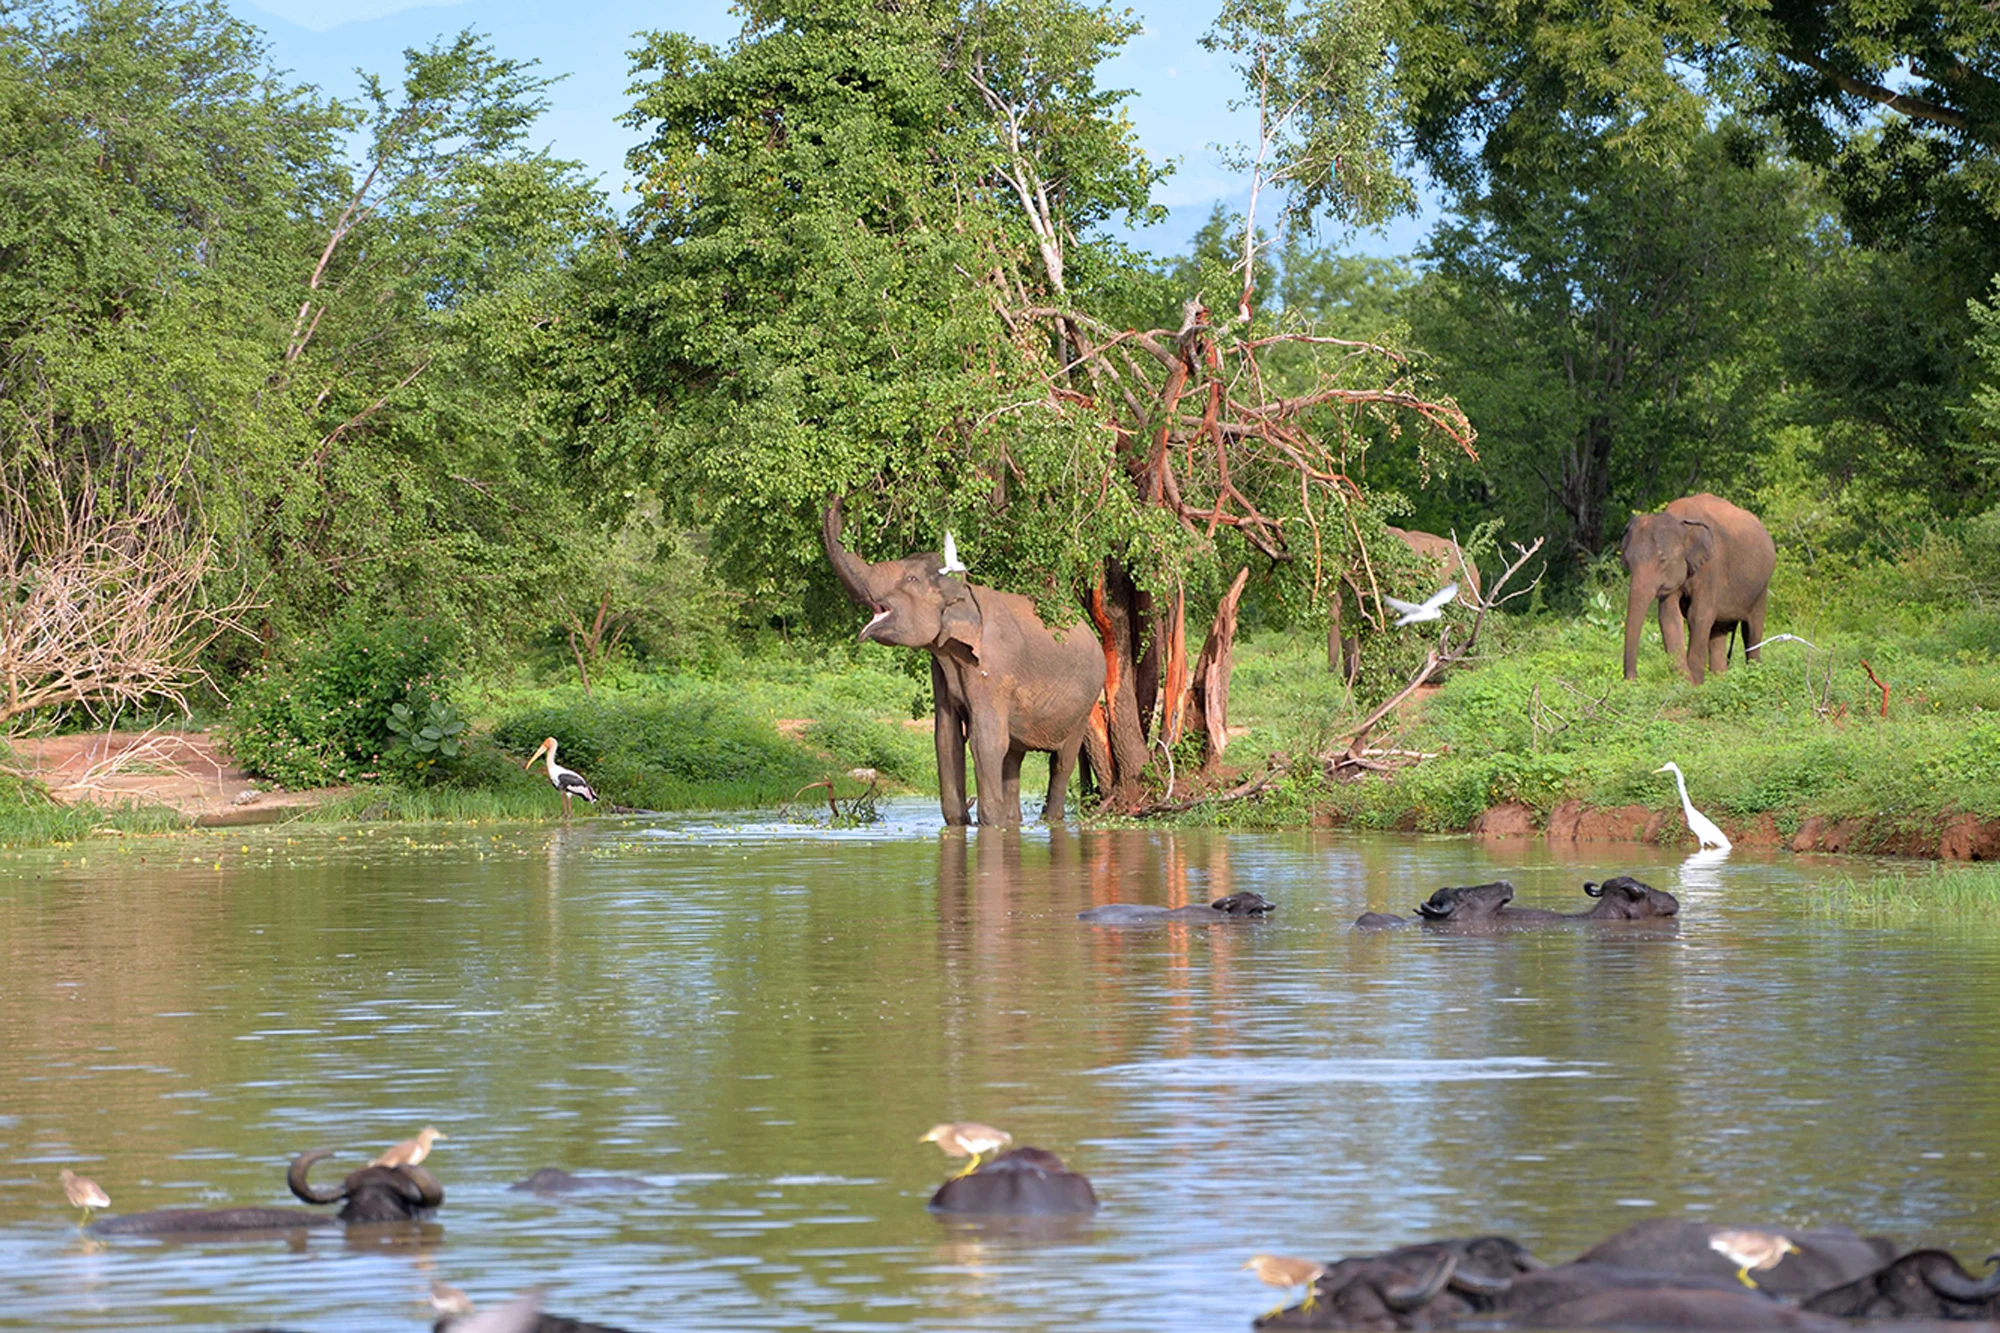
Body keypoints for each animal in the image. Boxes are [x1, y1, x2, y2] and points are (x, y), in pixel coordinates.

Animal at [820, 500, 1104, 820]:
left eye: (911, 579)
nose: (839, 496)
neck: (966, 593)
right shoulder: (941, 667)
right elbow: (947, 739)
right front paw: (961, 823)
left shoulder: (995, 666)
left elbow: (986, 740)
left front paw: (990, 824)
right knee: (1013, 758)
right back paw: (1015, 821)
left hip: (1085, 704)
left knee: (1061, 760)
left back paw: (1049, 819)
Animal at [1616, 490, 1776, 684]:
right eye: (1627, 562)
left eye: (1662, 560)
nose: (1632, 679)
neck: (1680, 521)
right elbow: (1669, 617)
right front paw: (1684, 681)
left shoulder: (1712, 567)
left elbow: (1699, 614)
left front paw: (1694, 682)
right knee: (1718, 632)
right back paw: (1719, 679)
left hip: (1761, 586)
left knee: (1752, 631)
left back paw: (1753, 674)